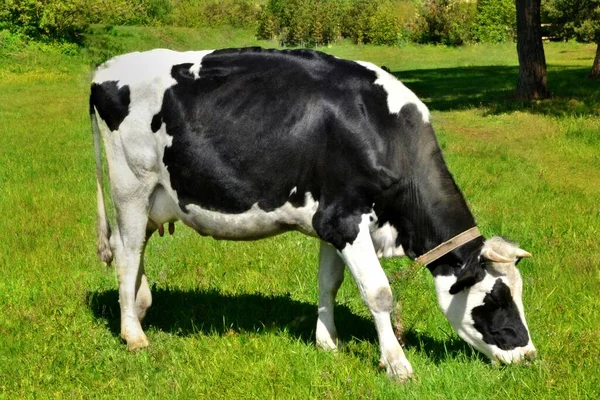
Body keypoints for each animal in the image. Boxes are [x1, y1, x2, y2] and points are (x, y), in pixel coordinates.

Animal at [90, 47, 540, 382]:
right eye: (496, 299)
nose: (530, 355)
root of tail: (107, 68)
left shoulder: (330, 224)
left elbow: (330, 284)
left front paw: (328, 343)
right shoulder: (344, 220)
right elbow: (379, 292)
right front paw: (397, 365)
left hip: (153, 198)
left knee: (135, 252)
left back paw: (140, 308)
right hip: (131, 186)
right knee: (126, 253)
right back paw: (134, 335)